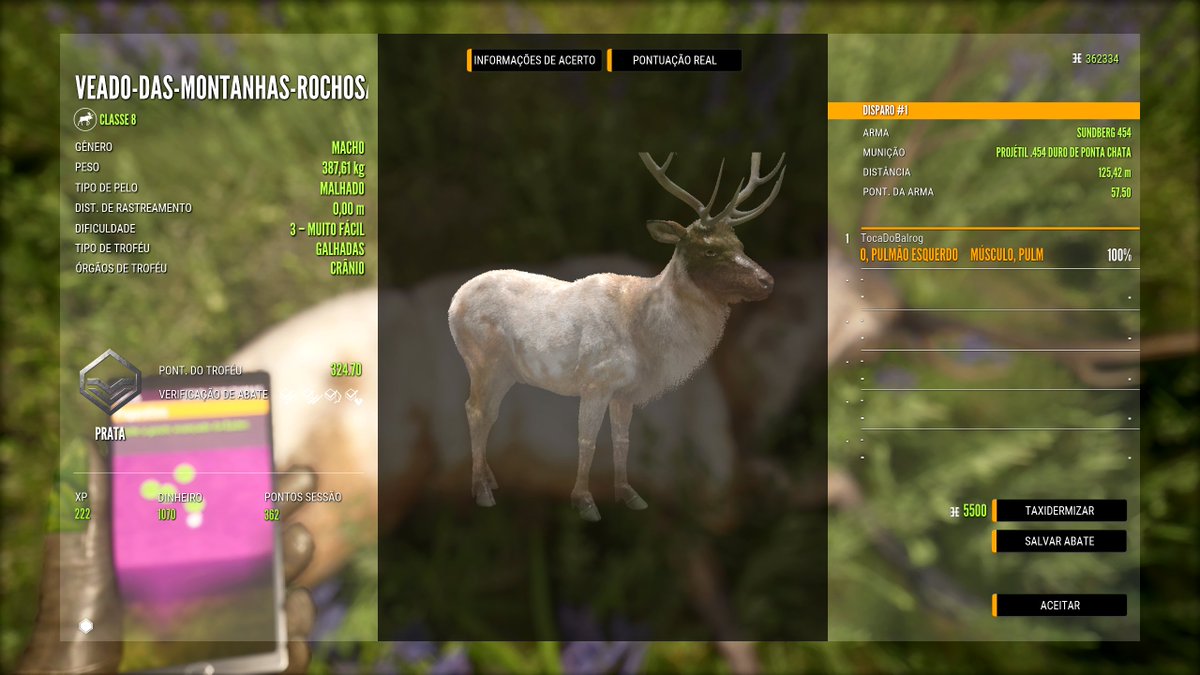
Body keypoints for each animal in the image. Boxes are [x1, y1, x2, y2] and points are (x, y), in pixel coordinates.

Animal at [447, 152, 785, 521]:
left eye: (740, 244)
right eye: (709, 250)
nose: (767, 281)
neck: (646, 336)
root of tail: (454, 302)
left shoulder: (626, 391)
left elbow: (623, 440)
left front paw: (629, 494)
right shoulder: (596, 379)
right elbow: (587, 440)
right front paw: (585, 502)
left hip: (506, 371)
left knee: (489, 412)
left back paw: (490, 480)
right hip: (481, 359)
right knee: (475, 409)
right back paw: (481, 490)